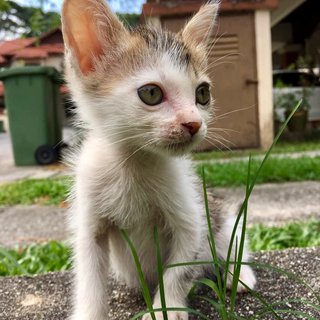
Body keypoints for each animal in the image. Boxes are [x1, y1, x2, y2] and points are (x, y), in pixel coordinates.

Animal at [61, 0, 256, 320]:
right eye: (151, 93)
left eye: (203, 93)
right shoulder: (89, 216)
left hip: (221, 215)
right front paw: (89, 312)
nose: (193, 123)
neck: (133, 162)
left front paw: (169, 307)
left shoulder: (192, 217)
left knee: (233, 239)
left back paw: (240, 275)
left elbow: (181, 268)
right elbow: (89, 274)